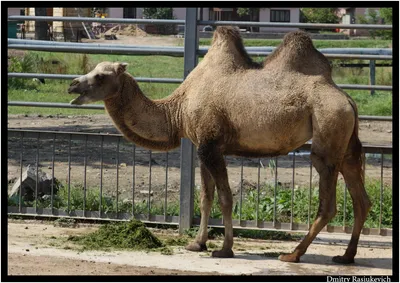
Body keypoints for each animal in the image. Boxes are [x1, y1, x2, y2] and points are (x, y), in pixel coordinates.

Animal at [68, 26, 372, 264]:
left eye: (101, 76)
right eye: (92, 70)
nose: (72, 85)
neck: (177, 110)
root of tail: (347, 99)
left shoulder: (211, 146)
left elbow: (226, 198)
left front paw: (225, 249)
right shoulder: (202, 147)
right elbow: (205, 198)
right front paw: (197, 243)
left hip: (327, 132)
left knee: (328, 202)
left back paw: (293, 254)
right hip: (346, 144)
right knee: (361, 199)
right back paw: (346, 256)